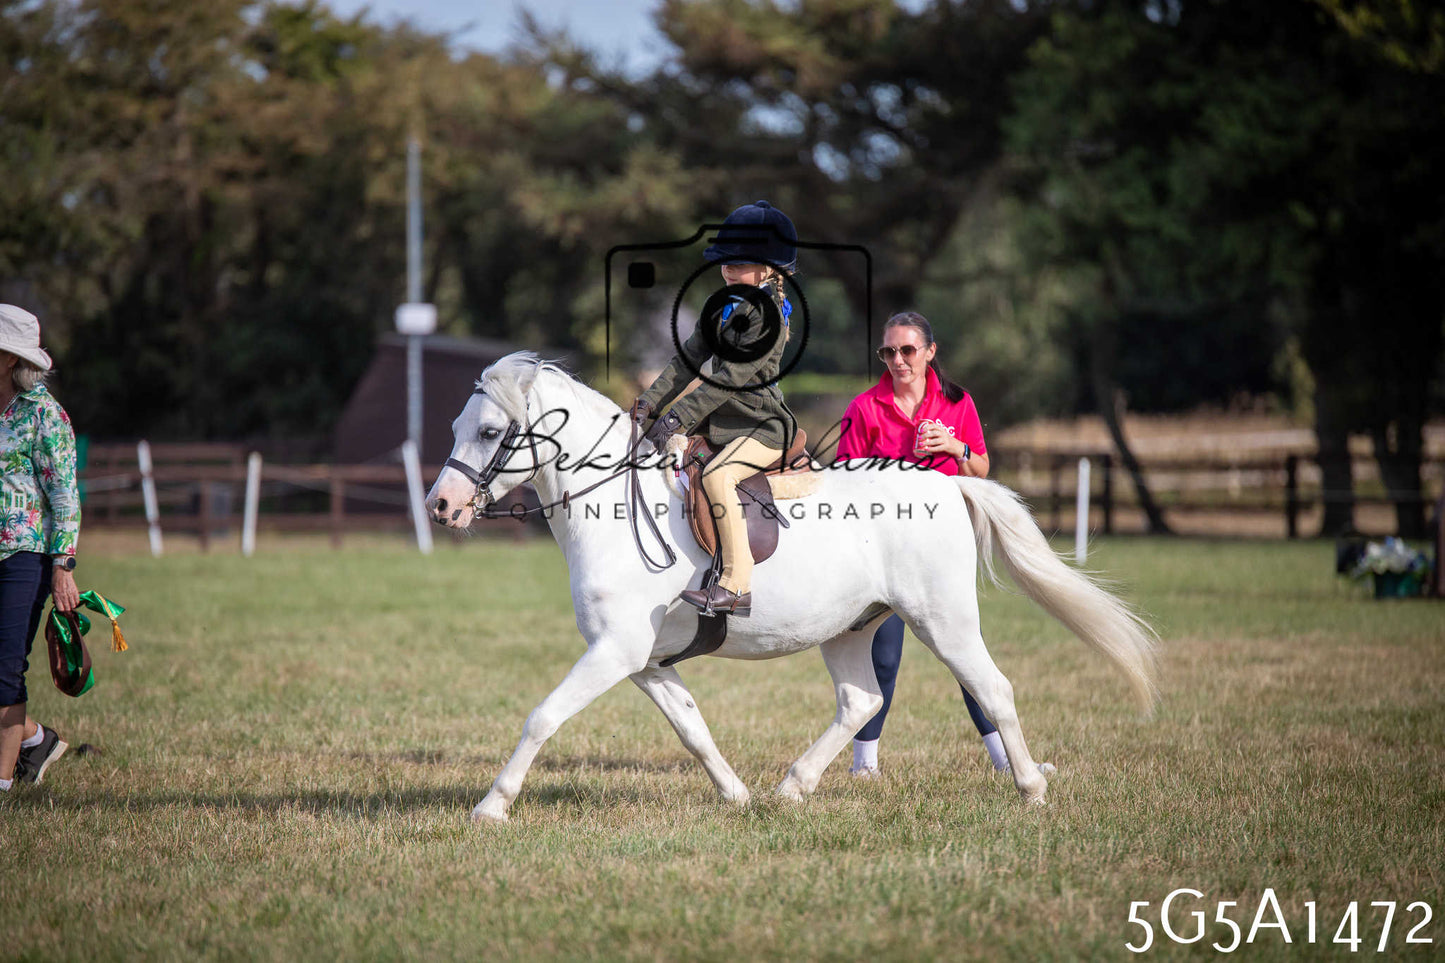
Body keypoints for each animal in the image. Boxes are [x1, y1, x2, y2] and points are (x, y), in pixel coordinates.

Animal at [425, 353, 1157, 824]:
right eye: (458, 427)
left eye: (490, 432)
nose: (441, 507)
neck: (615, 510)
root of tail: (946, 483)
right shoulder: (645, 662)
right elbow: (693, 729)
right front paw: (736, 797)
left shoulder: (613, 652)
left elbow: (542, 716)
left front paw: (491, 806)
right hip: (851, 627)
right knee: (862, 701)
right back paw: (791, 789)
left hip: (942, 620)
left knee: (992, 690)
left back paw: (1030, 788)